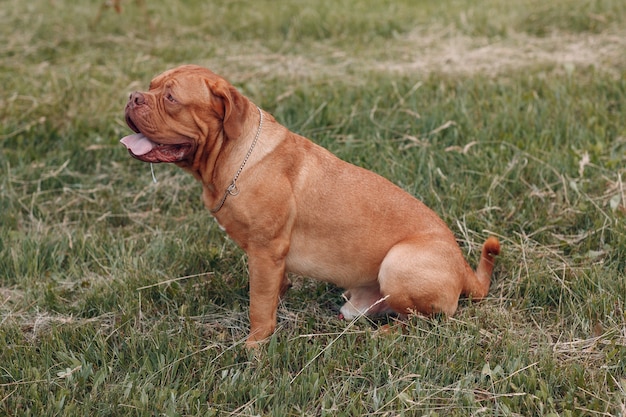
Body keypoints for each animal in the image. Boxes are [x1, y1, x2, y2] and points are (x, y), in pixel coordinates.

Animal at [119, 64, 500, 344]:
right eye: (151, 86)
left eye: (170, 97)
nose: (133, 96)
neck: (234, 157)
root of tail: (465, 271)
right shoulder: (270, 259)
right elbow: (271, 290)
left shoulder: (266, 250)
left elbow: (259, 307)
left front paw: (254, 346)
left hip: (398, 263)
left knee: (424, 322)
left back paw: (383, 335)